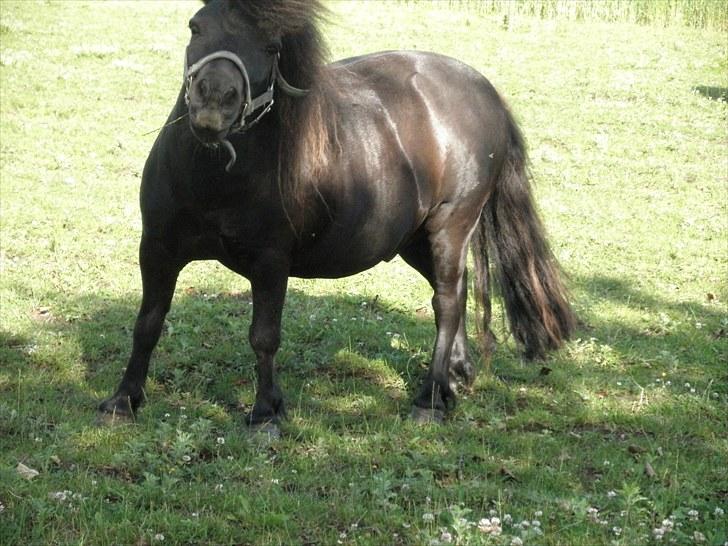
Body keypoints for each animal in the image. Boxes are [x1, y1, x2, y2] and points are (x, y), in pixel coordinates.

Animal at [99, 0, 575, 429]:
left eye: (272, 46)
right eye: (196, 27)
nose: (214, 102)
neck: (215, 174)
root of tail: (484, 90)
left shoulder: (270, 262)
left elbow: (264, 337)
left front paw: (265, 413)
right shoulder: (157, 250)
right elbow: (147, 323)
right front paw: (123, 400)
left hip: (449, 228)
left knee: (446, 302)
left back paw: (429, 399)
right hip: (413, 240)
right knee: (454, 295)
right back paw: (454, 378)